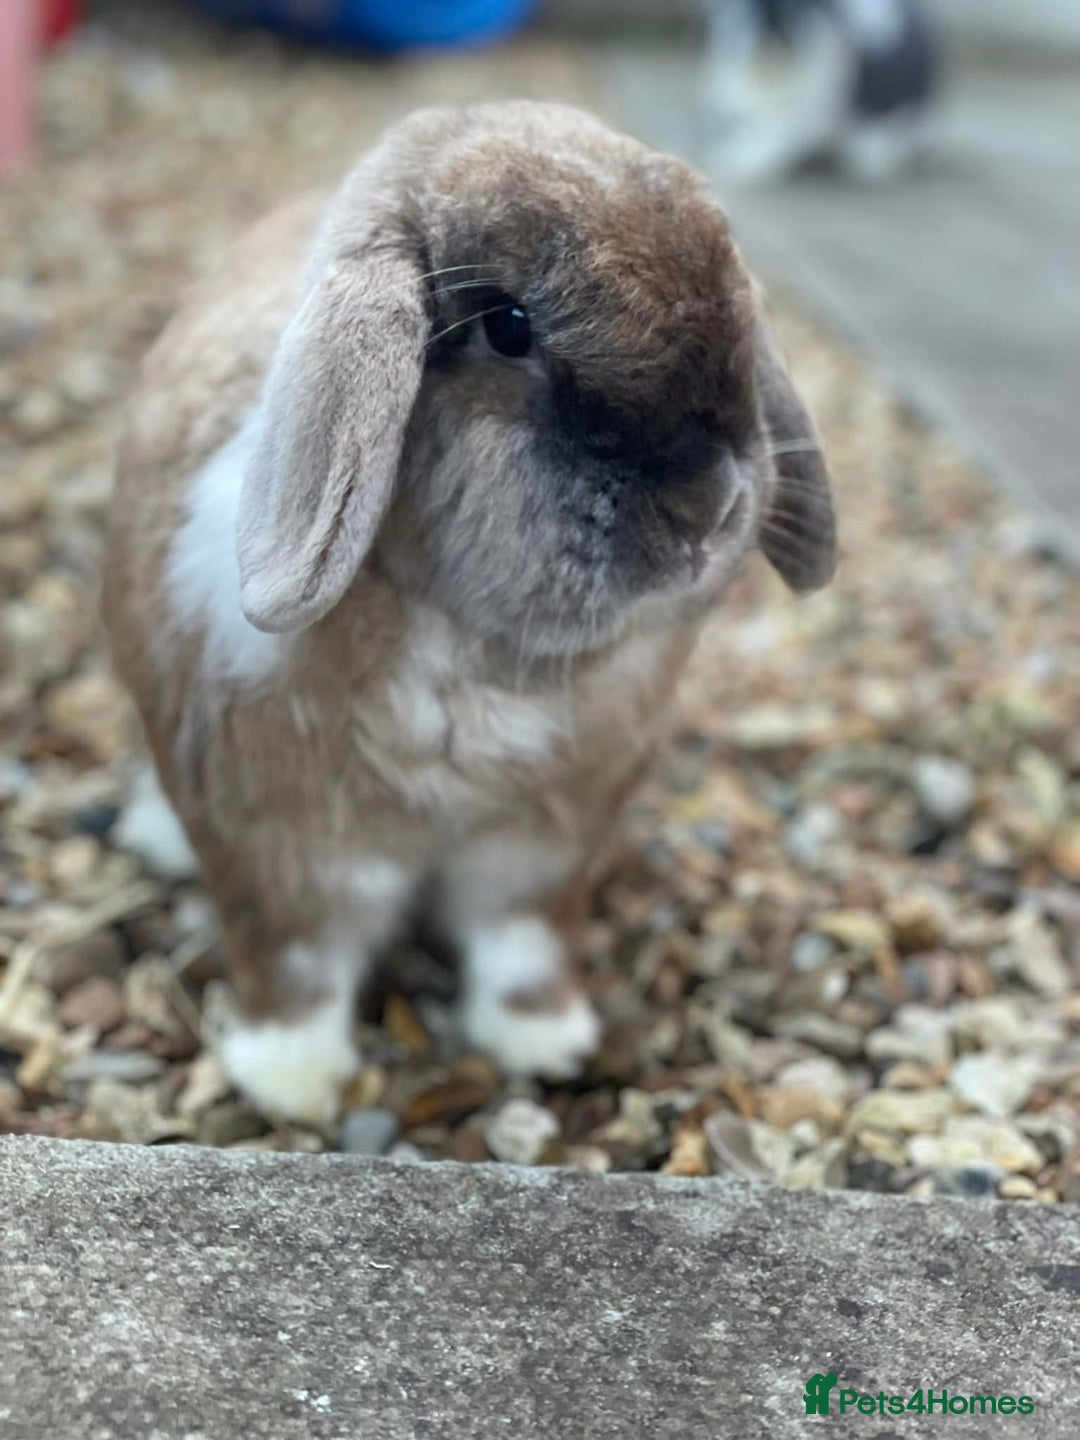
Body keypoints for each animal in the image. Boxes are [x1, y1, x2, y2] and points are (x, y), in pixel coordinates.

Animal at [103, 102, 836, 1126]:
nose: (711, 505)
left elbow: (523, 948)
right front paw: (292, 1084)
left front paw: (542, 1041)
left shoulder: (543, 851)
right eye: (507, 325)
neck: (477, 648)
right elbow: (297, 970)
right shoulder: (287, 856)